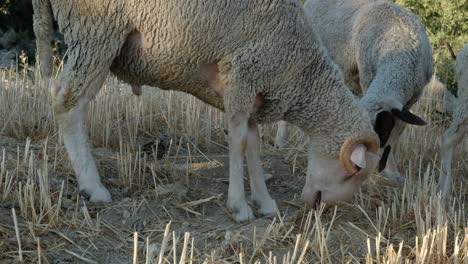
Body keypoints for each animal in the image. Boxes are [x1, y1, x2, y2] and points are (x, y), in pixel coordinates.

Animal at [35, 0, 380, 223]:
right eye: (355, 172)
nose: (319, 208)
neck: (304, 74)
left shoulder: (253, 93)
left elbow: (253, 144)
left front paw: (265, 202)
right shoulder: (241, 75)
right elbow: (238, 142)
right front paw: (239, 207)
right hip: (97, 31)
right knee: (67, 101)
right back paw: (93, 186)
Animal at [276, 0, 434, 182]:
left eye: (381, 129)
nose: (358, 165)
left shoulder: (411, 99)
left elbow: (395, 136)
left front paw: (391, 173)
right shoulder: (368, 77)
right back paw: (281, 141)